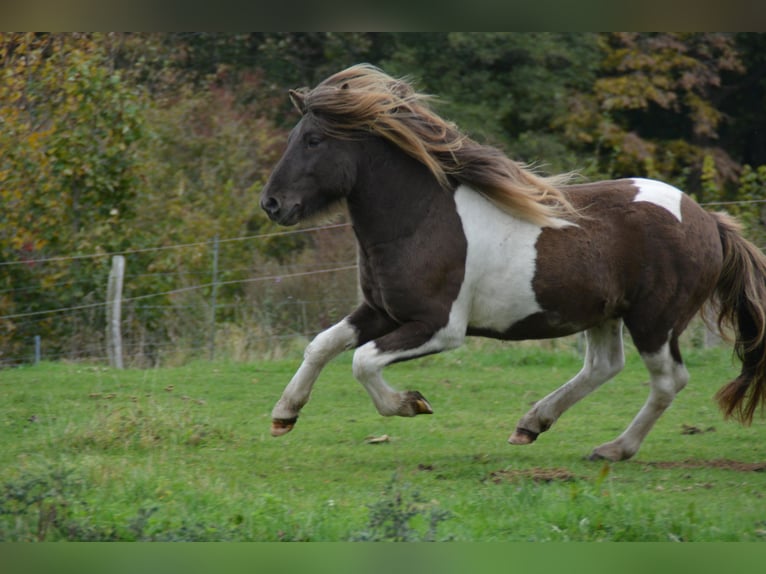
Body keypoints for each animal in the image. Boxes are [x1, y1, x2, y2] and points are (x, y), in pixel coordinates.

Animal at [259, 63, 766, 461]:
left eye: (313, 140)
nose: (272, 204)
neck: (421, 219)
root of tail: (709, 220)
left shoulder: (439, 327)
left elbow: (362, 361)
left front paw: (411, 403)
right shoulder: (382, 311)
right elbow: (322, 345)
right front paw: (283, 415)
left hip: (655, 321)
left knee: (668, 381)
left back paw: (613, 449)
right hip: (605, 313)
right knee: (605, 366)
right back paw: (531, 424)